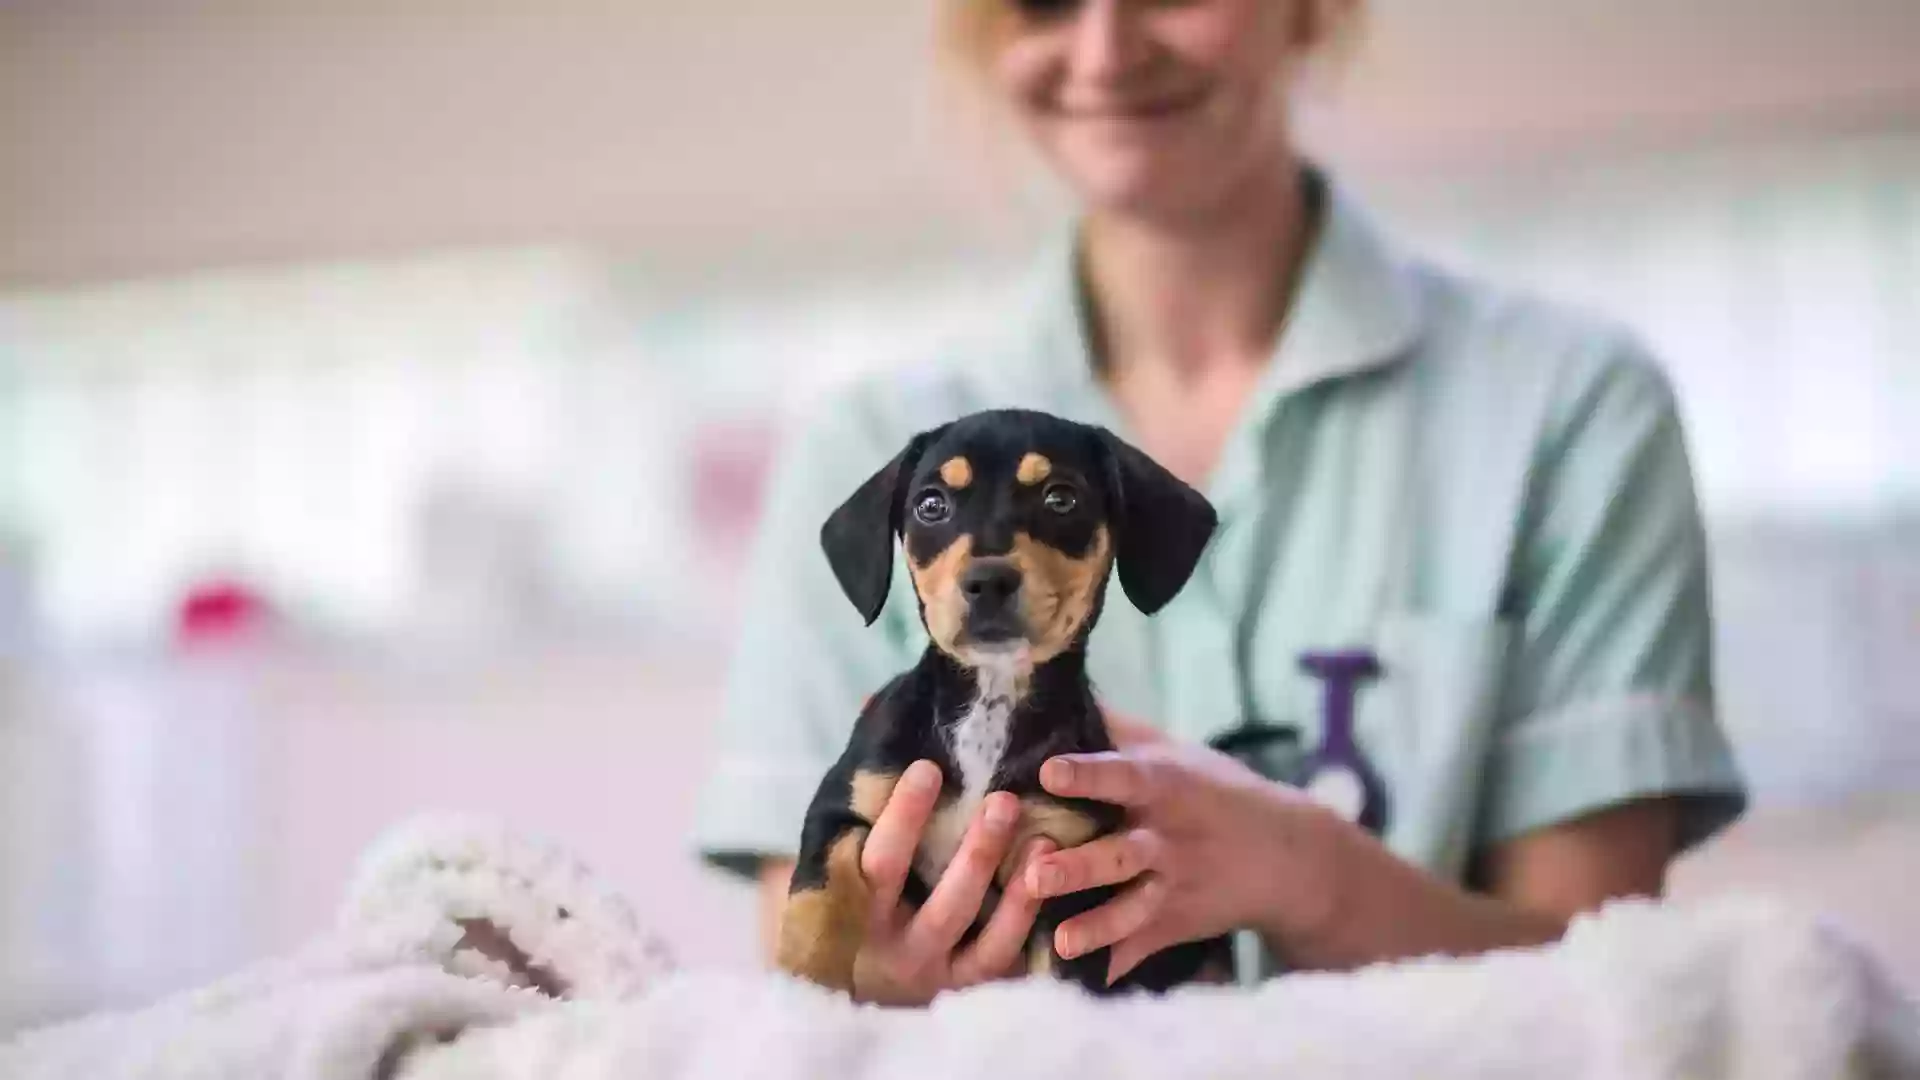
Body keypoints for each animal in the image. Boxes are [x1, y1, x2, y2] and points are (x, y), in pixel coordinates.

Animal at [775, 403, 1236, 991]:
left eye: (1061, 498)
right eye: (931, 505)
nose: (988, 581)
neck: (991, 705)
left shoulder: (1065, 870)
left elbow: (1059, 980)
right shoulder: (843, 805)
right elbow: (818, 906)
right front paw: (799, 992)